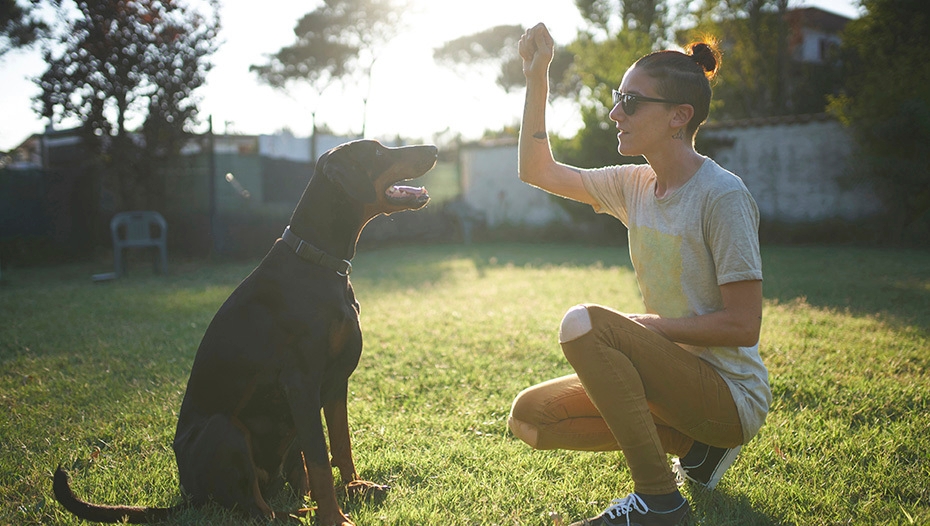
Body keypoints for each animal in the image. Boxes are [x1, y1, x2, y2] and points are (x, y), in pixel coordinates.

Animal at [54, 138, 438, 524]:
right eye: (377, 152)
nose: (434, 149)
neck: (317, 261)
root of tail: (188, 495)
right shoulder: (301, 383)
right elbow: (320, 459)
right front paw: (334, 517)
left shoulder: (335, 383)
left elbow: (341, 444)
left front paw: (355, 487)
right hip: (225, 428)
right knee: (255, 508)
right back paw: (298, 513)